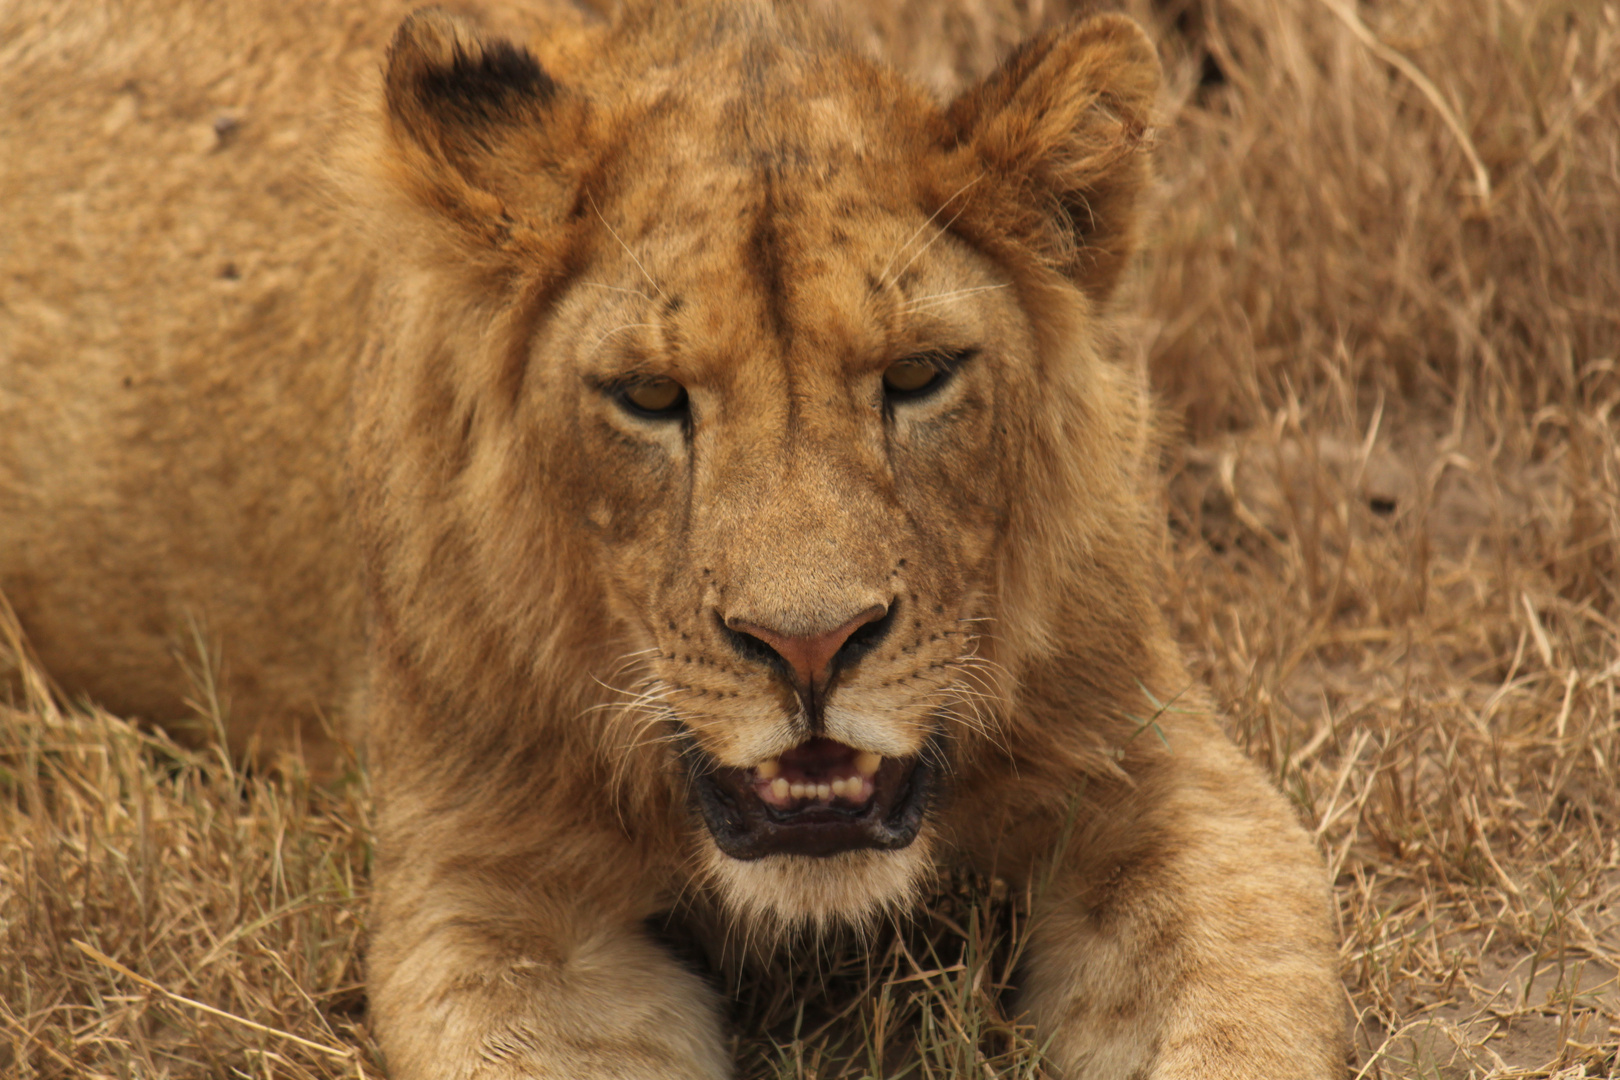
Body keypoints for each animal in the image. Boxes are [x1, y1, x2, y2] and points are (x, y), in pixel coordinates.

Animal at [0, 0, 1341, 1075]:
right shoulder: (490, 898)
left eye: (918, 376)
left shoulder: (1162, 784)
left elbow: (1243, 1027)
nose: (811, 649)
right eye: (648, 398)